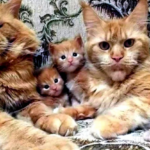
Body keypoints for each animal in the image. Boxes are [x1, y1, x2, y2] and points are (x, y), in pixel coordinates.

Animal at [0, 0, 78, 150]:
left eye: (0, 25)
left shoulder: (27, 101)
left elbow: (41, 110)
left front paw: (57, 119)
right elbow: (21, 131)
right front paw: (56, 144)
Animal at [58, 0, 150, 140]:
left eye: (129, 43)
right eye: (104, 45)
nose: (117, 57)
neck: (113, 85)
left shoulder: (145, 97)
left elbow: (129, 106)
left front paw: (106, 123)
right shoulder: (97, 103)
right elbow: (85, 107)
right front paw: (62, 111)